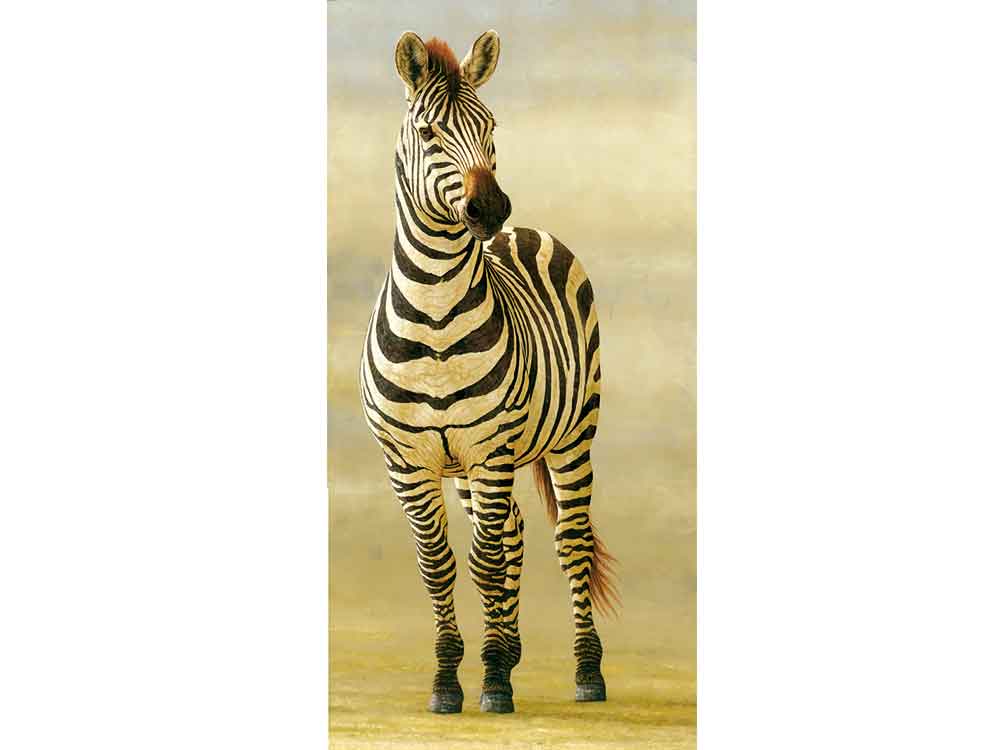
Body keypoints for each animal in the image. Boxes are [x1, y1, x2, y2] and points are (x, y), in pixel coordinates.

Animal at [359, 30, 619, 715]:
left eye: (491, 126)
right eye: (428, 132)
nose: (490, 208)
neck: (435, 317)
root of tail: (523, 233)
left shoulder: (491, 448)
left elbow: (483, 563)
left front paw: (493, 680)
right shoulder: (409, 462)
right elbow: (439, 566)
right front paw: (451, 678)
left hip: (573, 433)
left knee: (568, 540)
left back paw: (586, 672)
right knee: (516, 534)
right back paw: (510, 646)